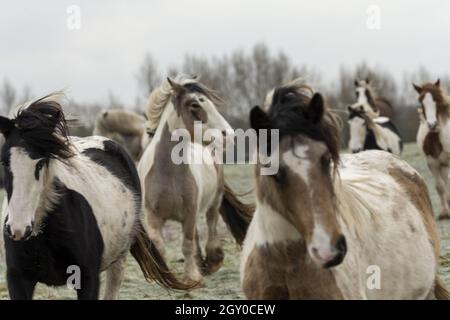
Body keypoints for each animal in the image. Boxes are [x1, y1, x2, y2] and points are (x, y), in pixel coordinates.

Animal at [0, 93, 189, 300]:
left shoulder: (88, 278)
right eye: (4, 162)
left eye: (41, 163)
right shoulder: (18, 279)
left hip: (119, 261)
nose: (18, 229)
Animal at [137, 76, 253, 284]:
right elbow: (160, 246)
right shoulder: (153, 217)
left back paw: (212, 261)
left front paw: (192, 277)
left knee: (211, 224)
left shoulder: (190, 213)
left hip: (214, 201)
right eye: (194, 104)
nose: (230, 135)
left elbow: (187, 244)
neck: (169, 173)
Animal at [414, 79, 450, 220]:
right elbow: (440, 187)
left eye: (436, 100)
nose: (432, 125)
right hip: (443, 166)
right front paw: (445, 212)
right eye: (421, 102)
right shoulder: (433, 164)